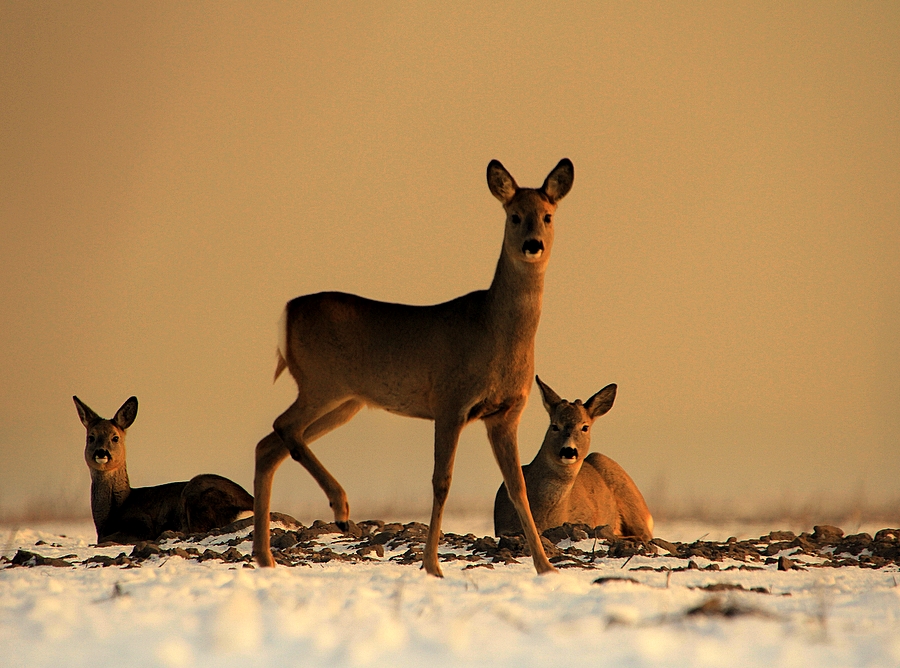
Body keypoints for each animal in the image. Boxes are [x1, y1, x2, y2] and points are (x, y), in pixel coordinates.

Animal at [74, 396, 255, 544]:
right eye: (91, 437)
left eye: (115, 437)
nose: (101, 452)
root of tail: (248, 503)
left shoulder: (142, 523)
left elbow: (106, 539)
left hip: (197, 493)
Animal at [253, 158, 576, 576]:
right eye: (514, 215)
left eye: (548, 216)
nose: (532, 244)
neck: (494, 330)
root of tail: (287, 312)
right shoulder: (450, 401)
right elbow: (442, 481)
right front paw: (432, 564)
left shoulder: (505, 413)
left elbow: (516, 485)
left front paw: (546, 567)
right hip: (321, 383)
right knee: (284, 427)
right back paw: (340, 507)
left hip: (345, 402)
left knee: (269, 446)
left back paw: (265, 556)